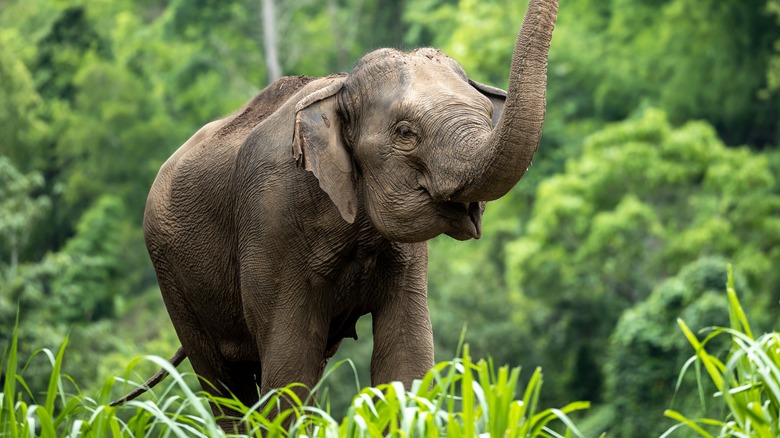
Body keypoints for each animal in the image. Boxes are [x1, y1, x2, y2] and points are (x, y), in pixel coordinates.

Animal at [112, 0, 556, 430]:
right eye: (405, 132)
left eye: (486, 112)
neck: (339, 87)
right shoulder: (272, 220)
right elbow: (289, 368)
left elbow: (406, 358)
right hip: (172, 276)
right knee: (225, 385)